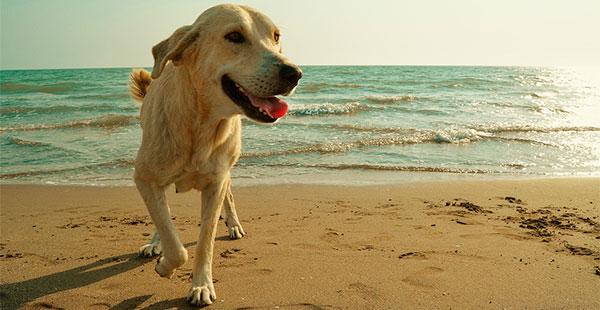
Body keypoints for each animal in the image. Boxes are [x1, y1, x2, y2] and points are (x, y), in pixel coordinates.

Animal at [129, 3, 302, 306]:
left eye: (276, 36)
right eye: (234, 36)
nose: (294, 73)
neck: (202, 125)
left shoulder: (216, 182)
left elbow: (205, 241)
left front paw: (200, 285)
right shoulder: (145, 177)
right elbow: (173, 239)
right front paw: (164, 263)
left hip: (227, 168)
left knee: (229, 196)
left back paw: (233, 225)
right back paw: (154, 242)